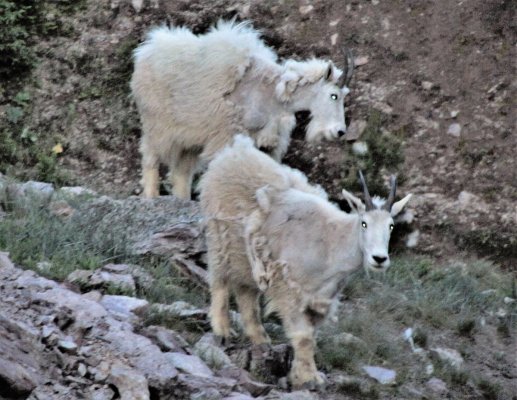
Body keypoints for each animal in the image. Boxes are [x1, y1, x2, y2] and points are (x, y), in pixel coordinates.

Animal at [131, 20, 352, 198]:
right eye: (334, 95)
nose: (340, 131)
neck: (273, 95)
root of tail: (145, 51)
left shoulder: (267, 143)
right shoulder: (227, 135)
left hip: (189, 140)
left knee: (181, 173)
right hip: (157, 124)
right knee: (150, 157)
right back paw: (150, 197)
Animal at [198, 136, 412, 390]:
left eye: (391, 225)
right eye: (364, 223)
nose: (379, 259)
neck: (332, 244)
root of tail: (233, 152)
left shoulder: (320, 299)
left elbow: (311, 336)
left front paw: (302, 374)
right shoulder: (290, 289)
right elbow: (303, 337)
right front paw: (308, 378)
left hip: (249, 259)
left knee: (246, 292)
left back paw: (260, 339)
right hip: (220, 236)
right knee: (220, 279)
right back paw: (222, 329)